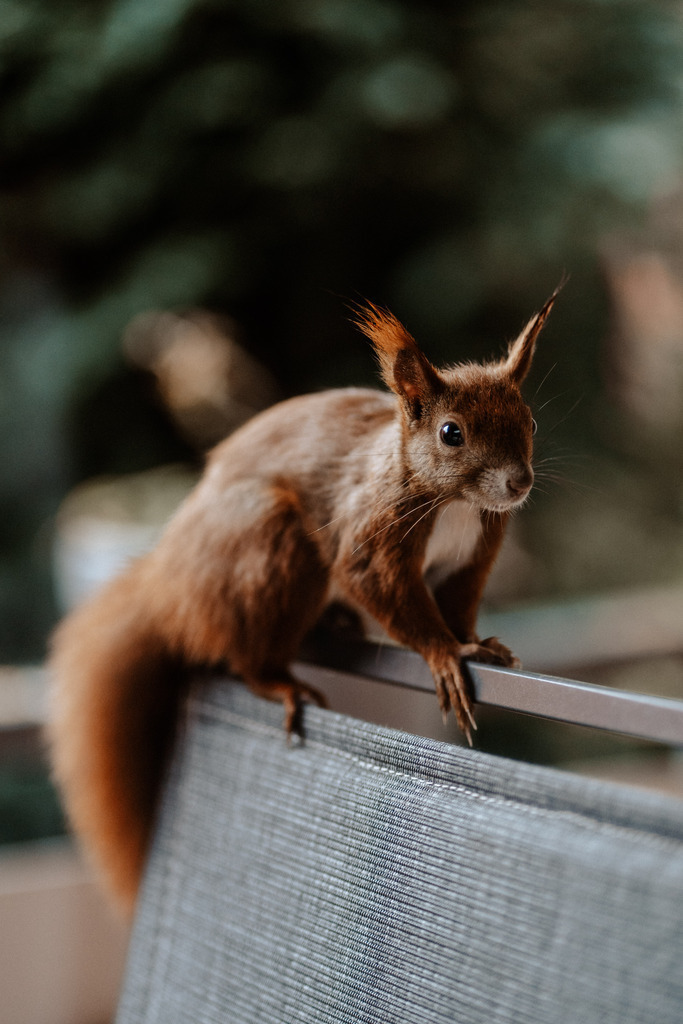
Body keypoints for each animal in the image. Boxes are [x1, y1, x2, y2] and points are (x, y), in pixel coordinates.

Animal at [48, 290, 558, 914]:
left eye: (530, 419)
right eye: (450, 432)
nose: (518, 483)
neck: (454, 501)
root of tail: (167, 587)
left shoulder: (472, 555)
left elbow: (459, 604)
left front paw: (475, 644)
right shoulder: (369, 534)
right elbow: (386, 591)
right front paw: (443, 656)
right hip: (270, 541)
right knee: (246, 658)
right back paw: (281, 683)